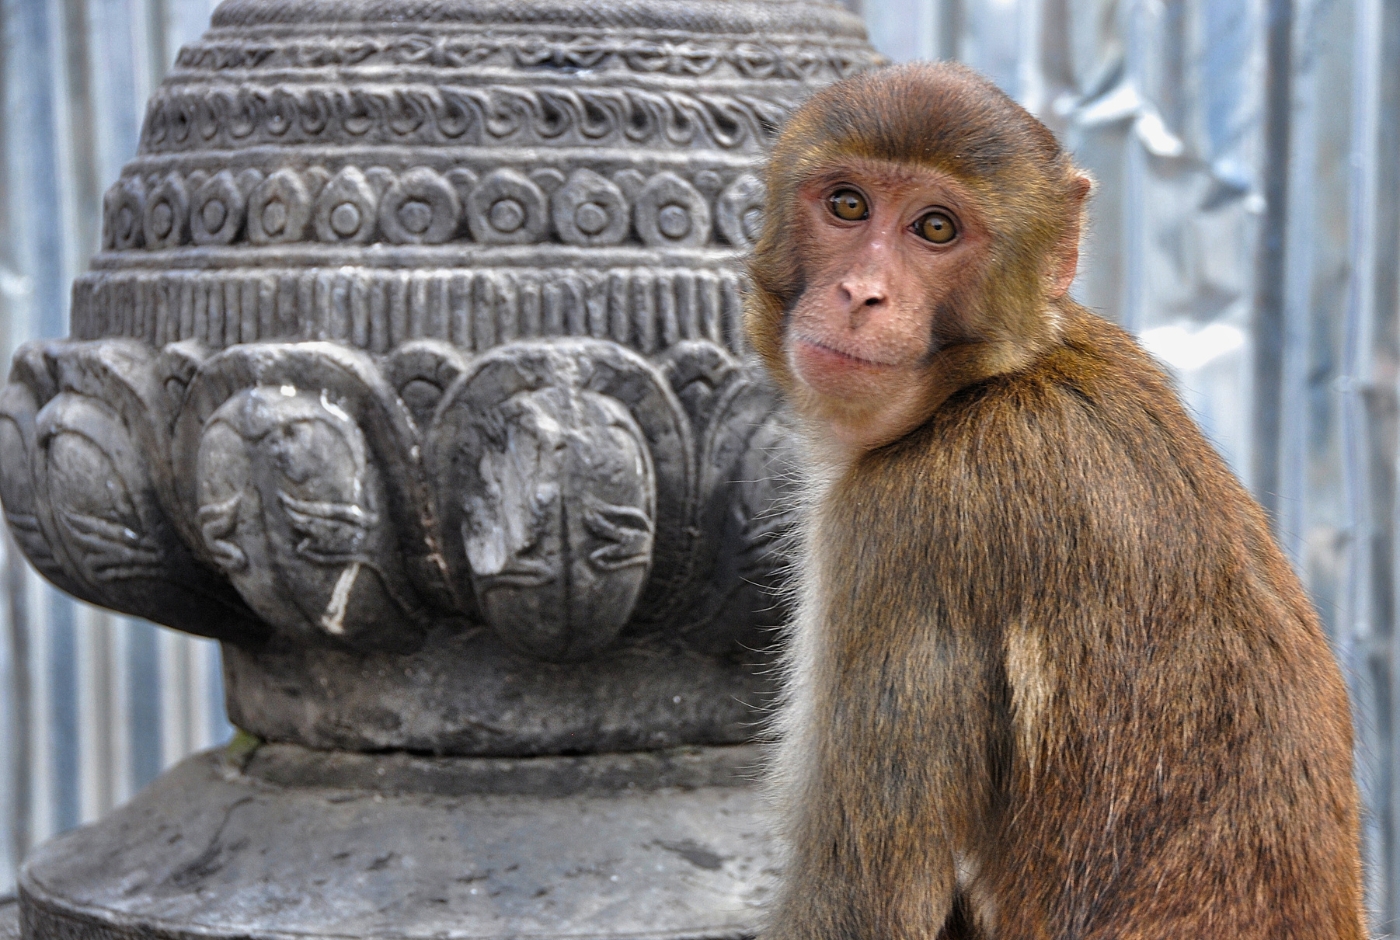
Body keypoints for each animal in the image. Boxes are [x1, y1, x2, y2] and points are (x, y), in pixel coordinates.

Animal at [750, 64, 1360, 940]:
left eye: (935, 228)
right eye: (848, 205)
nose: (861, 293)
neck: (993, 381)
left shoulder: (906, 526)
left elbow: (864, 904)